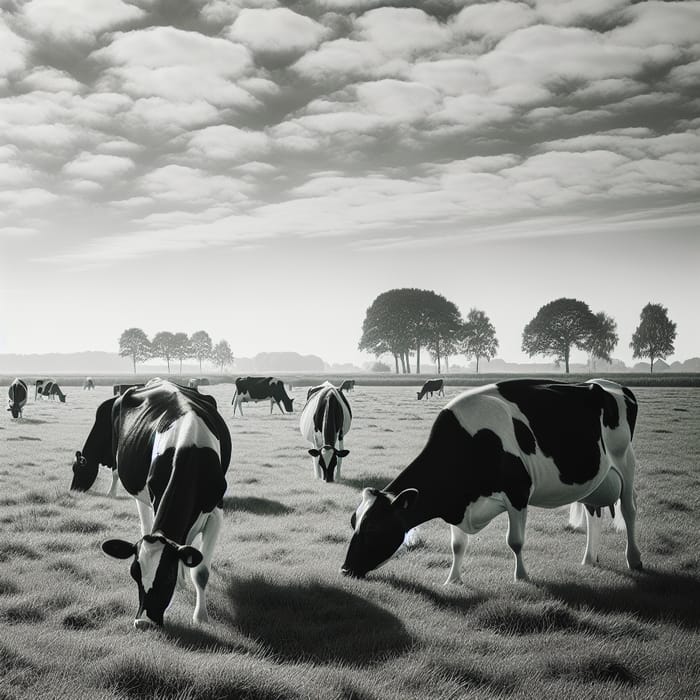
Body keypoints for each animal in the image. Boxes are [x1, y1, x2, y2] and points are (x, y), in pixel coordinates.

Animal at [72, 380, 230, 632]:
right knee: (147, 525)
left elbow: (201, 571)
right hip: (139, 490)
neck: (189, 449)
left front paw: (200, 617)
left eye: (166, 577)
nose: (143, 622)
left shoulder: (216, 511)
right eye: (134, 574)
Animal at [342, 380, 644, 584]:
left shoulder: (518, 493)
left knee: (629, 511)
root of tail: (609, 384)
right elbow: (457, 546)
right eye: (353, 522)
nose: (345, 569)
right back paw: (588, 560)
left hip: (626, 462)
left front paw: (521, 577)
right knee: (594, 514)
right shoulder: (458, 503)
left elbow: (515, 541)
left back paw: (634, 559)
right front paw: (453, 581)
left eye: (373, 528)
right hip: (596, 479)